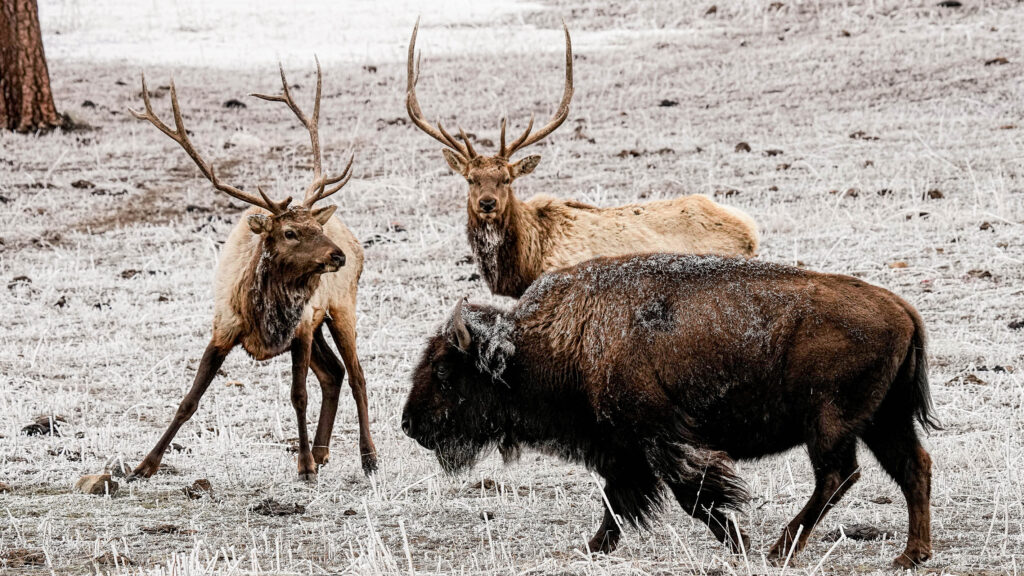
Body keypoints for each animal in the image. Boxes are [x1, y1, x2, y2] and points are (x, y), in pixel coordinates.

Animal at [126, 61, 377, 481]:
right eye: (290, 232)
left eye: (316, 227)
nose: (338, 256)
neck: (263, 318)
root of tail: (354, 237)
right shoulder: (223, 327)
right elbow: (188, 400)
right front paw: (143, 464)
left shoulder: (302, 327)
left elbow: (298, 395)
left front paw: (304, 466)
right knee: (335, 373)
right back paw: (323, 451)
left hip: (342, 306)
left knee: (356, 374)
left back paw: (367, 456)